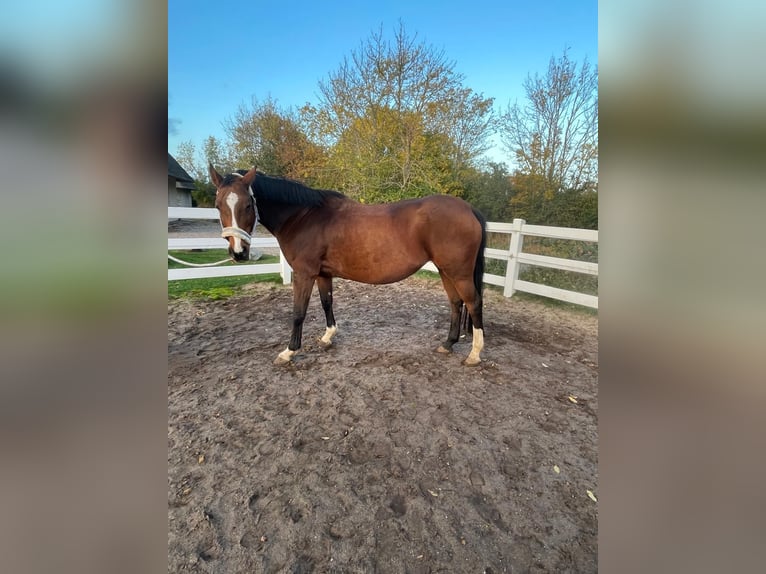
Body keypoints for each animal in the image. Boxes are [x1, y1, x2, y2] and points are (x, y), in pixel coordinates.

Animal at [208, 164, 486, 366]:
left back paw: (474, 354)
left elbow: (298, 313)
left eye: (248, 204)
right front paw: (328, 337)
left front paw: (289, 351)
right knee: (456, 303)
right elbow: (326, 302)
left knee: (473, 303)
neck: (303, 216)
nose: (238, 252)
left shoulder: (304, 274)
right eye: (218, 205)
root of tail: (469, 208)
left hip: (459, 273)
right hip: (445, 270)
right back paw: (447, 344)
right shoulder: (322, 274)